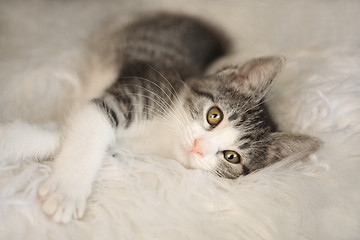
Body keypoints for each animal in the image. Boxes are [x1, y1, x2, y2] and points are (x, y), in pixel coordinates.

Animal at [38, 13, 320, 223]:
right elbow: (91, 124)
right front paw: (66, 192)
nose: (198, 147)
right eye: (214, 115)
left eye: (232, 156)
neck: (164, 135)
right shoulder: (135, 92)